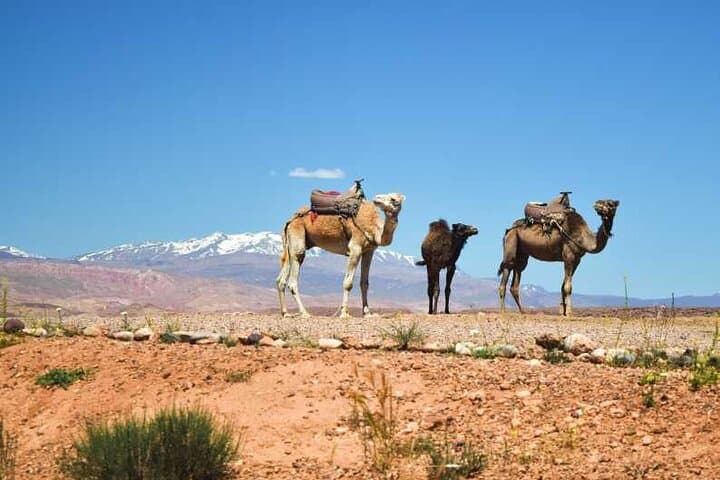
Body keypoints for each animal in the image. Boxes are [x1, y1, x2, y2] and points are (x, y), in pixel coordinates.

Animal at [276, 192, 405, 318]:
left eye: (394, 199)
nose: (377, 198)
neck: (374, 229)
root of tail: (290, 220)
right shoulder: (355, 248)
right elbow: (348, 283)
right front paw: (344, 313)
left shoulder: (369, 251)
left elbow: (364, 283)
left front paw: (367, 313)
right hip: (297, 233)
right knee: (295, 272)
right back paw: (304, 313)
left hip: (291, 243)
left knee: (281, 279)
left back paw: (285, 313)